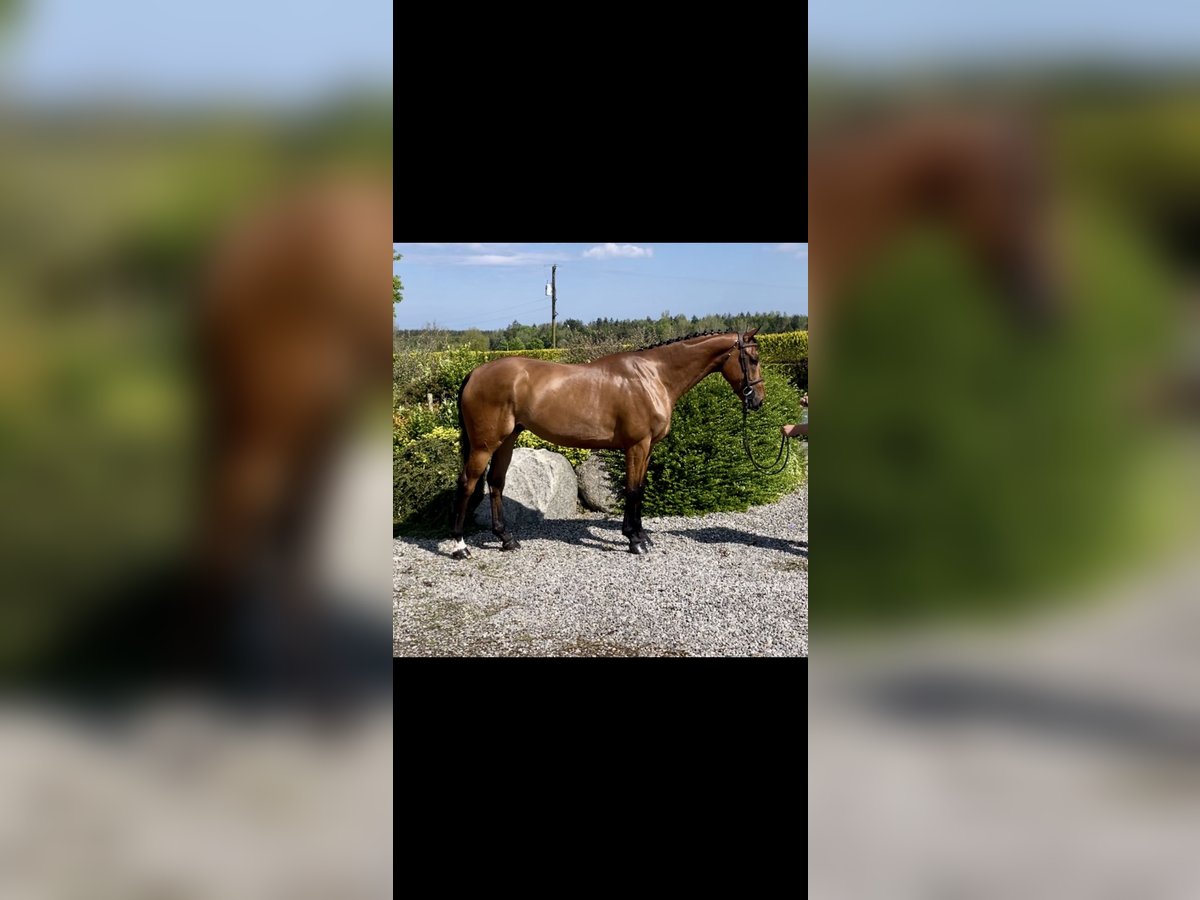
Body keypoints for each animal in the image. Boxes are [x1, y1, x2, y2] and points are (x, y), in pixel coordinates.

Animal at [446, 331, 763, 556]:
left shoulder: (648, 448)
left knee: (496, 483)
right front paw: (634, 541)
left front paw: (641, 535)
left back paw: (507, 539)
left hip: (506, 440)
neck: (654, 376)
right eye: (754, 359)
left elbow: (640, 489)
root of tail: (476, 373)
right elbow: (632, 490)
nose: (758, 401)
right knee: (467, 483)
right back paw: (460, 546)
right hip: (484, 445)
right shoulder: (637, 445)